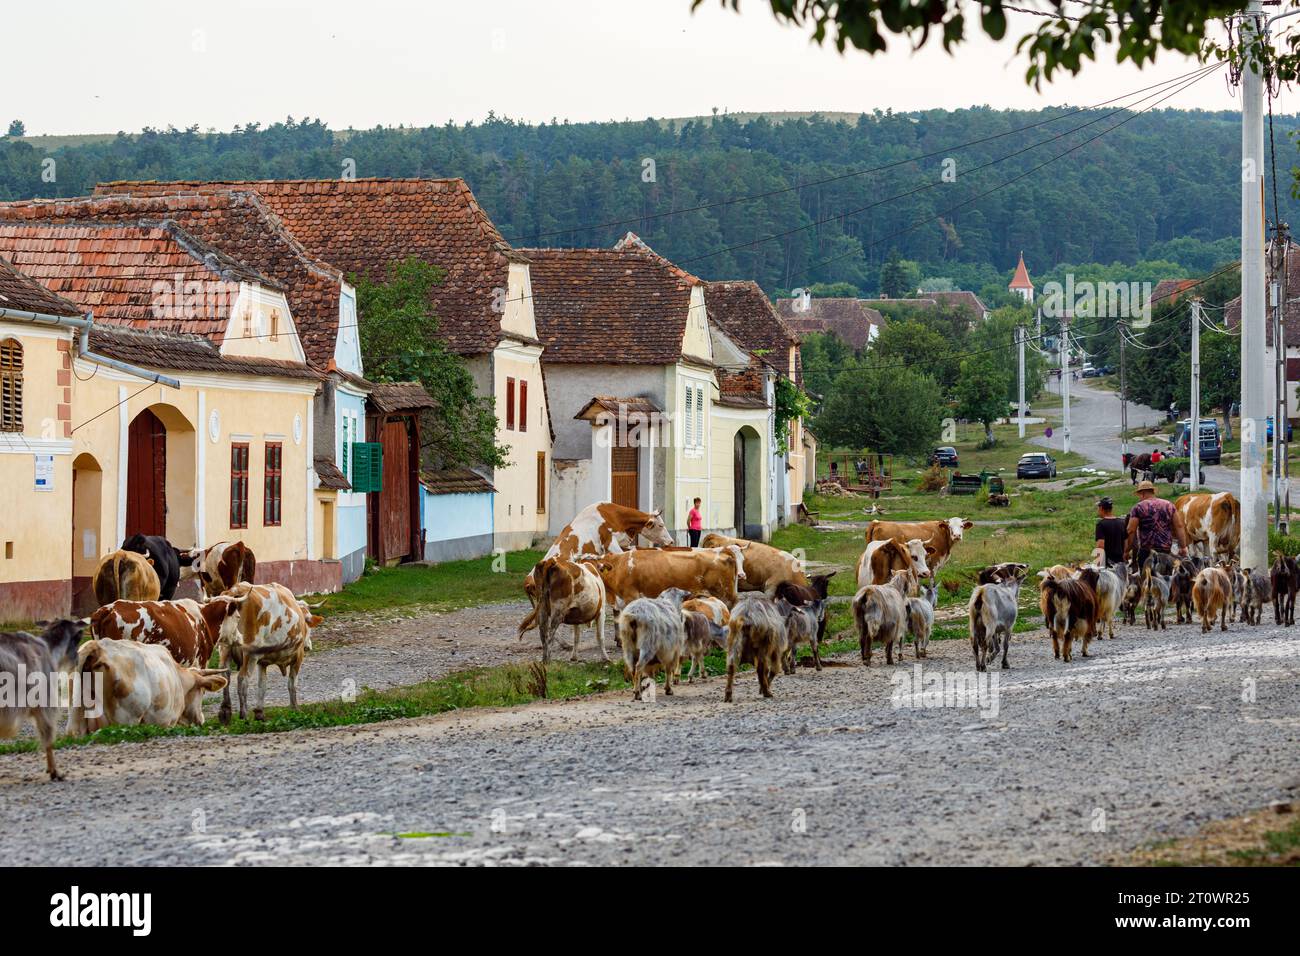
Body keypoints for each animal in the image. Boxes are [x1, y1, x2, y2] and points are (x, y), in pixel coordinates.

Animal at [211, 582, 318, 723]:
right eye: (308, 623)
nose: (308, 646)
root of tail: (236, 590)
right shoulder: (298, 656)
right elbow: (292, 684)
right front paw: (295, 708)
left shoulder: (262, 662)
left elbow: (262, 685)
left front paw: (259, 713)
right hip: (249, 653)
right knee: (242, 679)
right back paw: (244, 715)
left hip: (225, 648)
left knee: (225, 675)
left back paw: (225, 711)